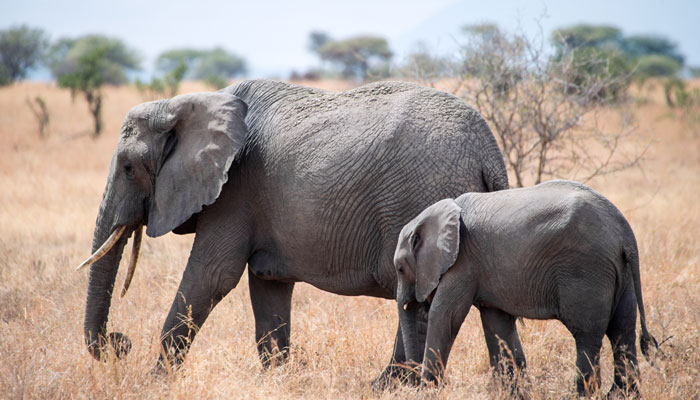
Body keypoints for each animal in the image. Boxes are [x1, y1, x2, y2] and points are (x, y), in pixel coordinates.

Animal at [76, 79, 510, 386]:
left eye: (128, 167)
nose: (120, 343)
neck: (184, 104)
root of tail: (488, 150)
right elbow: (267, 286)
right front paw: (279, 378)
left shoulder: (234, 190)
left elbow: (212, 276)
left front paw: (154, 382)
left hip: (423, 194)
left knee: (417, 294)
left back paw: (387, 385)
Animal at [393, 180, 657, 396]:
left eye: (399, 269)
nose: (411, 383)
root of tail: (625, 232)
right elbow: (497, 324)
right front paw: (513, 394)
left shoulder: (462, 262)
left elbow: (446, 317)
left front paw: (428, 392)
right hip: (620, 272)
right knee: (623, 331)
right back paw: (622, 395)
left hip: (587, 268)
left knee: (587, 334)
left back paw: (584, 394)